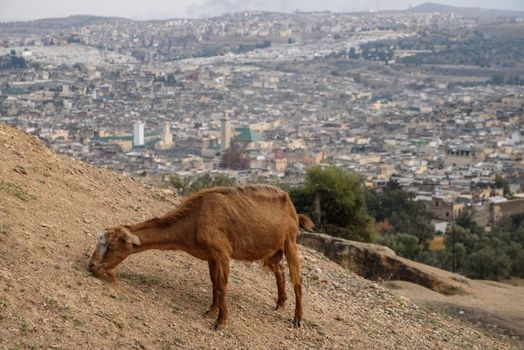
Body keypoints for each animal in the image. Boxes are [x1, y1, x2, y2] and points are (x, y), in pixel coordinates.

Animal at [88, 185, 314, 330]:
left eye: (112, 245)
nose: (92, 265)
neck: (195, 219)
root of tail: (291, 207)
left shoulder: (222, 253)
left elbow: (222, 286)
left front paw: (220, 322)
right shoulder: (211, 256)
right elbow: (214, 284)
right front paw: (212, 310)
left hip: (289, 242)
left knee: (298, 280)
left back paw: (298, 319)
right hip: (271, 250)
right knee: (279, 270)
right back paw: (280, 303)